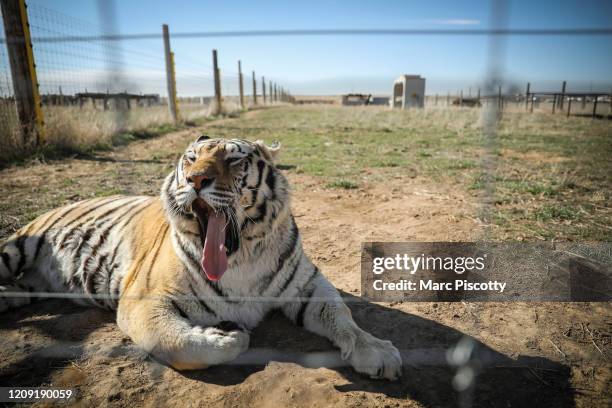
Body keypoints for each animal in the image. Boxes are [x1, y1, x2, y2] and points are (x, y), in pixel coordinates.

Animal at [0, 136, 404, 380]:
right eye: (190, 159)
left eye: (234, 158)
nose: (195, 180)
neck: (242, 258)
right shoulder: (143, 300)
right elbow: (174, 340)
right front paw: (230, 337)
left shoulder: (307, 286)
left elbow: (344, 317)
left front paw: (377, 351)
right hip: (13, 250)